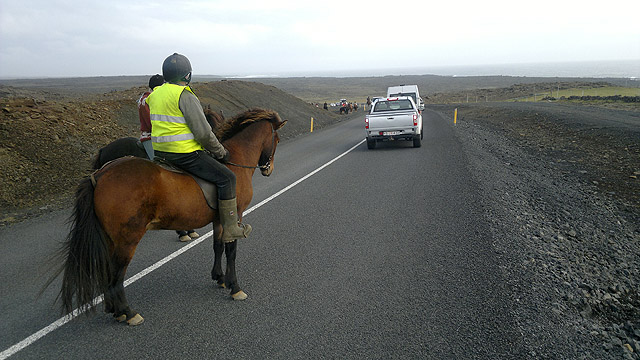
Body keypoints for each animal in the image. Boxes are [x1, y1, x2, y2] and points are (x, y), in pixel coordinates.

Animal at [53, 108, 288, 324]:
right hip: (127, 240)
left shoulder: (219, 220)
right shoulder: (235, 215)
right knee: (117, 274)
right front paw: (235, 287)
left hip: (111, 239)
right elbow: (231, 251)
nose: (268, 169)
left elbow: (218, 246)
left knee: (108, 272)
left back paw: (114, 310)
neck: (234, 160)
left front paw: (219, 277)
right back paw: (128, 312)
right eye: (276, 139)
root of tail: (100, 175)